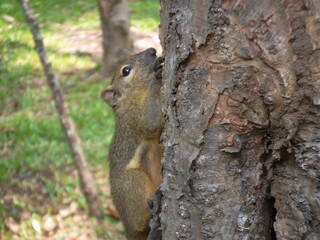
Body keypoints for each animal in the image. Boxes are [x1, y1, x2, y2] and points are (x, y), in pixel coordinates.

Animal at [100, 47, 165, 239]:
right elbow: (151, 121)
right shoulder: (134, 118)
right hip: (132, 182)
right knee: (139, 223)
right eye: (126, 71)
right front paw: (156, 75)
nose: (152, 50)